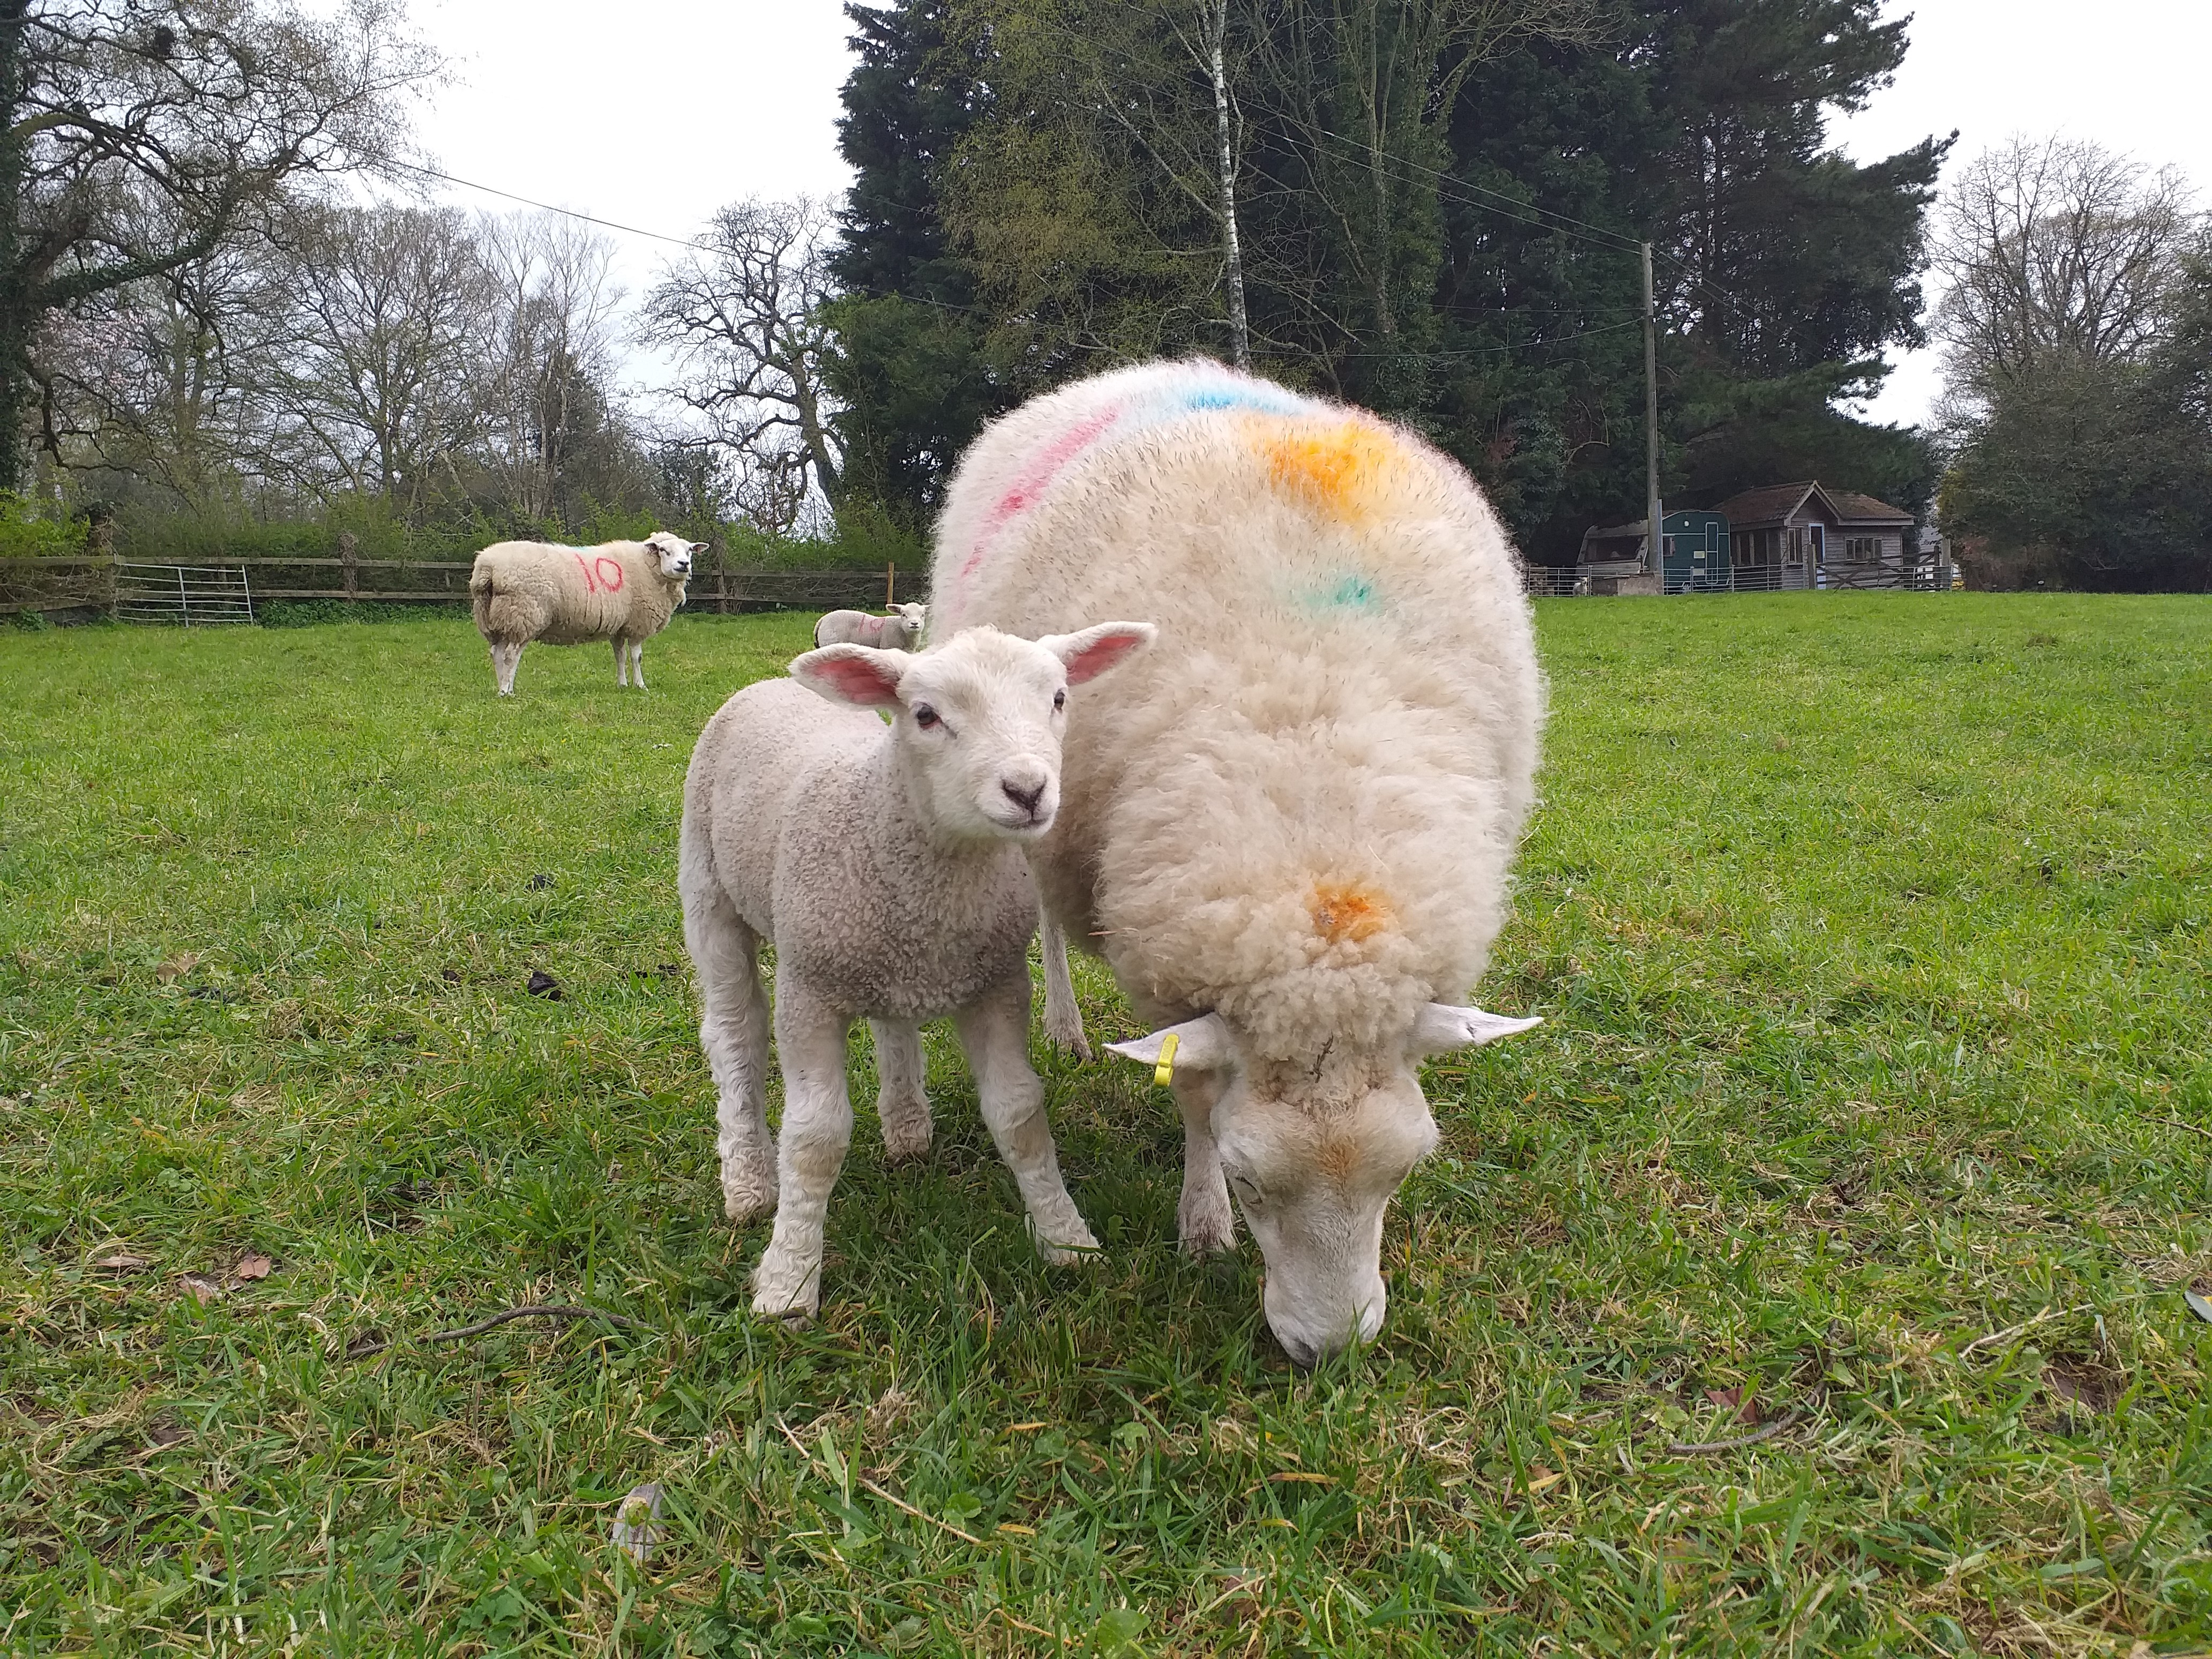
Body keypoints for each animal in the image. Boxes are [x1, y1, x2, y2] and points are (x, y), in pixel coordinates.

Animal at [469, 531, 706, 695]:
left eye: (689, 550)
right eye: (664, 550)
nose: (684, 564)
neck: (648, 568)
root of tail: (487, 566)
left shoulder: (619, 627)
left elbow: (619, 656)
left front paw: (622, 685)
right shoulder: (637, 624)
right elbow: (636, 657)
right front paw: (640, 686)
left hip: (496, 618)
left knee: (497, 653)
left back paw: (501, 686)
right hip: (524, 615)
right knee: (511, 655)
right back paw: (507, 691)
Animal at [680, 618, 1156, 1320]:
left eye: (1060, 698)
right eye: (926, 715)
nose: (1028, 791)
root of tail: (770, 684)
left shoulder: (997, 983)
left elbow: (1019, 1115)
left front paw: (1067, 1238)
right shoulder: (808, 990)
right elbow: (814, 1140)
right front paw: (789, 1280)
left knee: (891, 1022)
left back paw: (906, 1125)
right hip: (708, 890)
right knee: (735, 1033)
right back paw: (748, 1180)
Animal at [813, 601, 927, 650]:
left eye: (922, 615)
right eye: (904, 615)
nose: (914, 624)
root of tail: (822, 620)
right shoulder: (887, 646)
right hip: (830, 641)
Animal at [928, 358, 1545, 1366]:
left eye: (1407, 1170)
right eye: (1248, 1176)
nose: (1330, 1353)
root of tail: (1144, 369)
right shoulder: (1166, 955)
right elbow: (1189, 1092)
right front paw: (1201, 1226)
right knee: (1048, 922)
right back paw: (1063, 1024)